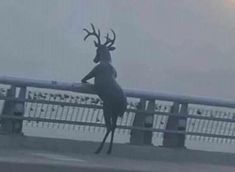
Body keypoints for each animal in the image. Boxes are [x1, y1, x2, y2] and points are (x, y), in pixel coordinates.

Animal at [81, 23, 127, 154]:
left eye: (97, 50)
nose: (95, 59)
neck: (106, 61)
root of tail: (122, 105)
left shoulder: (93, 72)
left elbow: (84, 79)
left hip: (108, 108)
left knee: (109, 126)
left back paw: (99, 149)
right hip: (115, 113)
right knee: (114, 127)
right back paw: (109, 150)